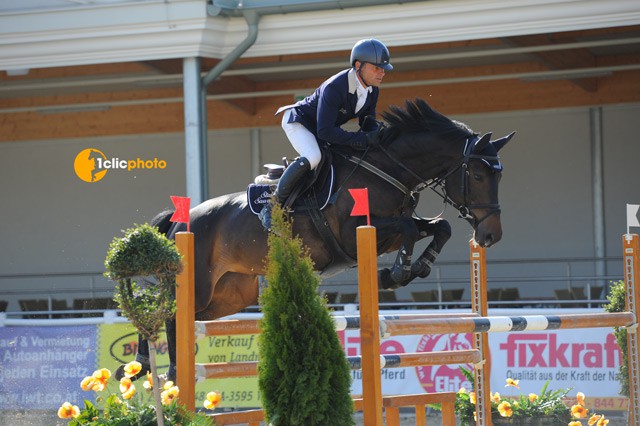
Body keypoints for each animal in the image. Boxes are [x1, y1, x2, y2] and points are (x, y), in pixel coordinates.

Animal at [116, 98, 516, 382]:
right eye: (478, 175)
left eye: (499, 176)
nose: (491, 235)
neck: (387, 168)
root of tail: (178, 222)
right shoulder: (355, 237)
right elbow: (406, 227)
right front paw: (397, 273)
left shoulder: (392, 228)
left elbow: (438, 227)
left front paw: (419, 265)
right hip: (197, 286)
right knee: (168, 315)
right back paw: (163, 373)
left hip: (228, 296)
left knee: (177, 317)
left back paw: (148, 370)